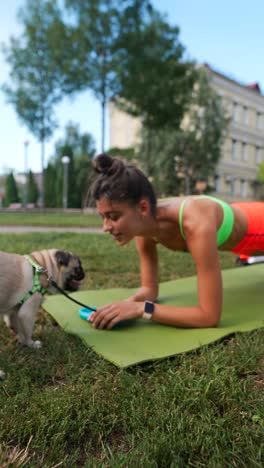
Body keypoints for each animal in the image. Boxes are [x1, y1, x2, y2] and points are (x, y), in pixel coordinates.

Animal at [0, 250, 84, 378]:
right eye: (78, 268)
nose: (84, 274)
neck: (41, 265)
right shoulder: (27, 314)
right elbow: (27, 332)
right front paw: (32, 344)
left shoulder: (13, 312)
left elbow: (17, 328)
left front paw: (23, 342)